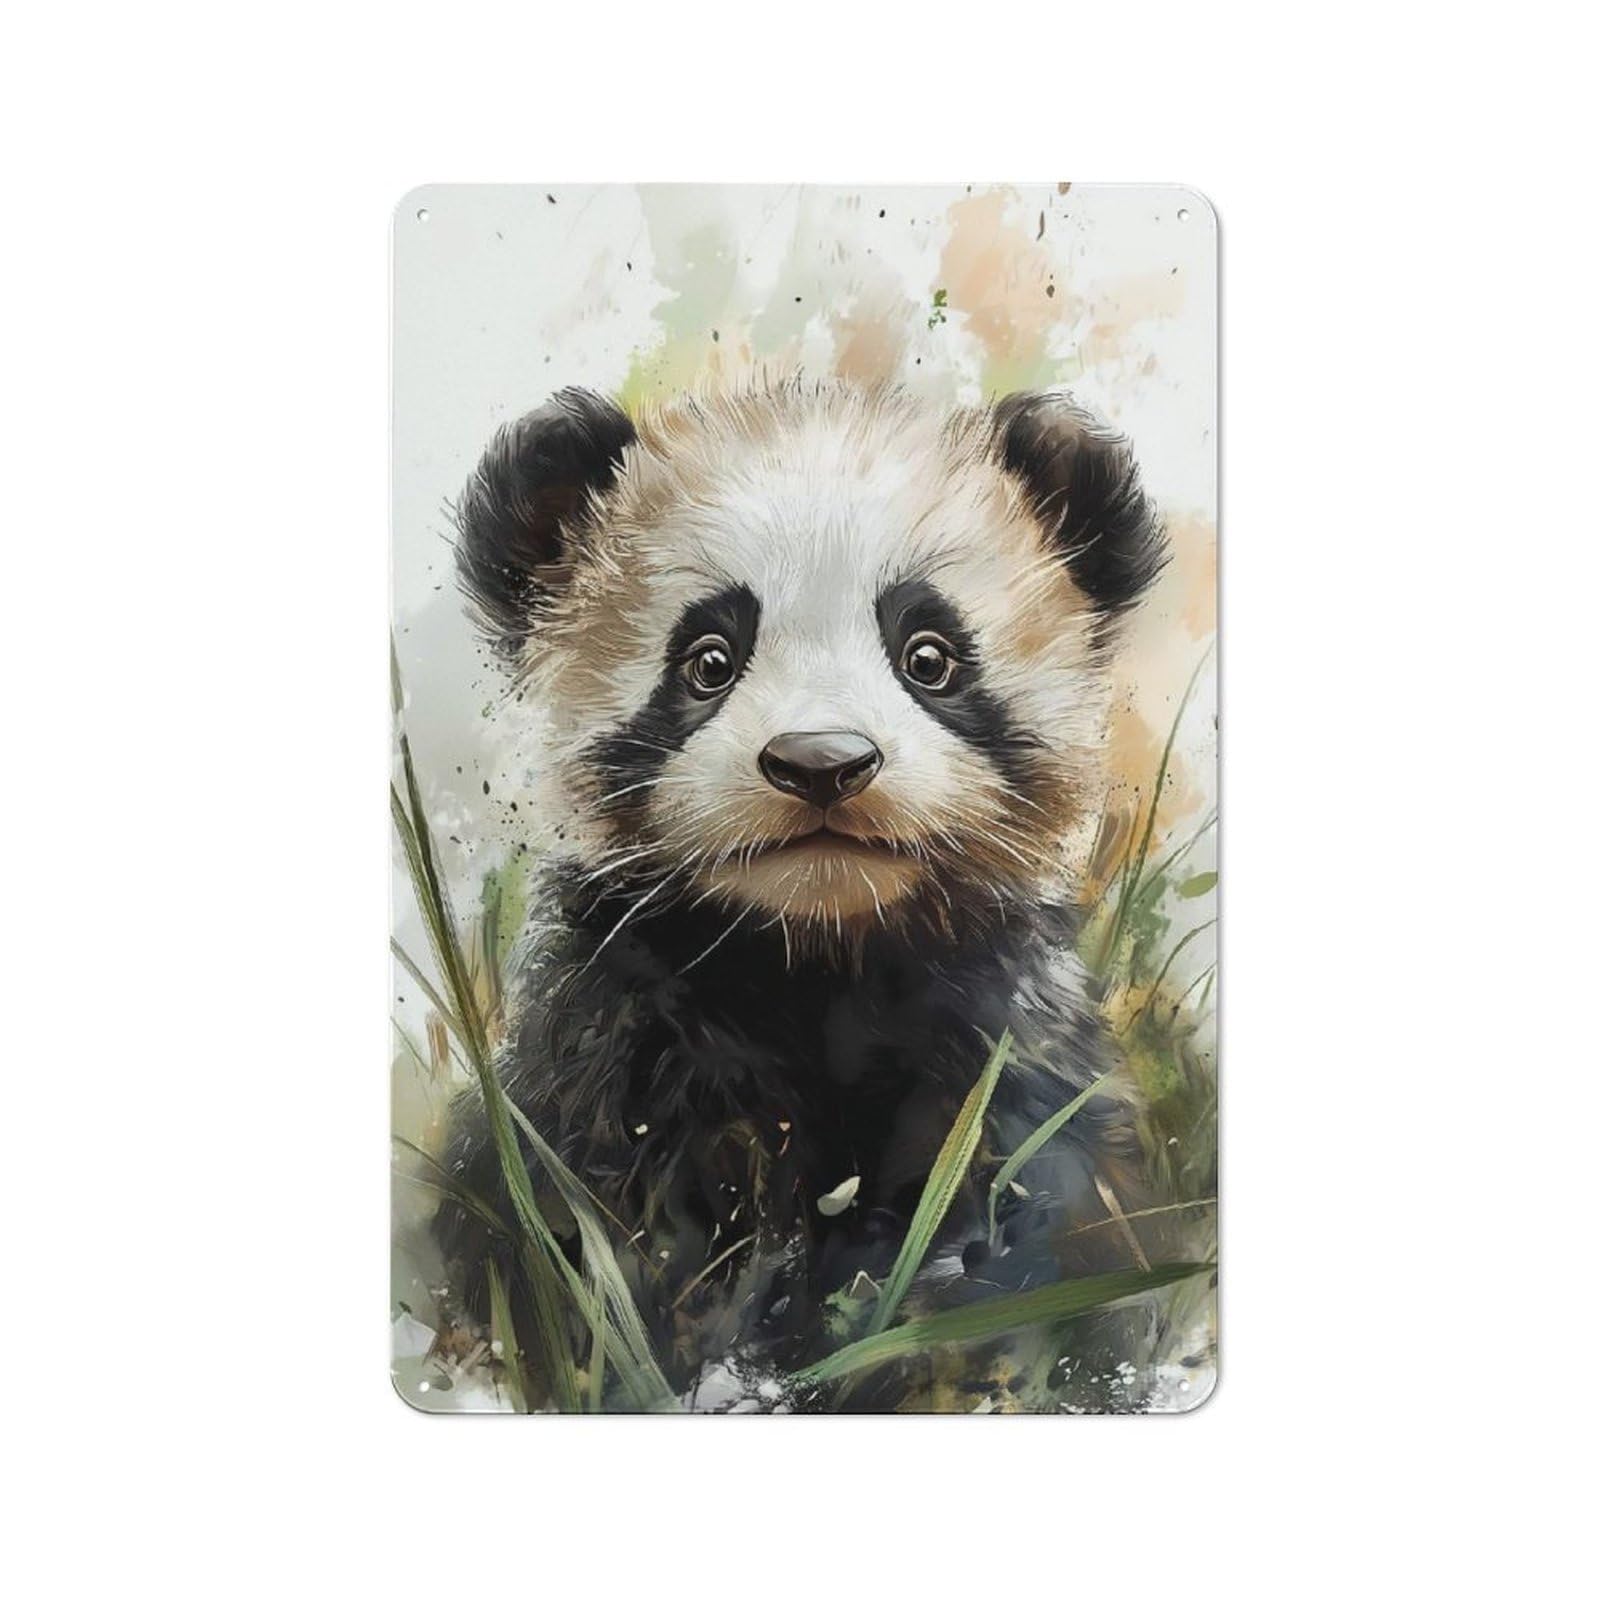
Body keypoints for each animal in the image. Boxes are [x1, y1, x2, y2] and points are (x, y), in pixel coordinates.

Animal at [436, 380, 1168, 1398]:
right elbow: (583, 1247)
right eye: (707, 659)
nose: (822, 763)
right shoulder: (613, 1056)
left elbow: (1051, 1240)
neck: (817, 958)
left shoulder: (1003, 1048)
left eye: (930, 655)